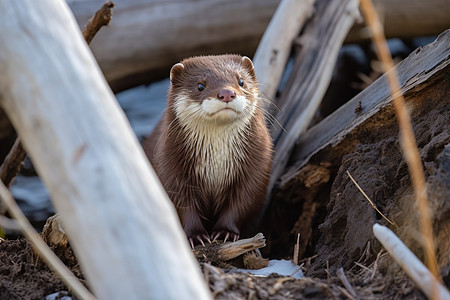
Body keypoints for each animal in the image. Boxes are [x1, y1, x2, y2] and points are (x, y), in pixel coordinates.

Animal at [142, 55, 272, 247]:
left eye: (241, 81)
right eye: (200, 85)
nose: (227, 93)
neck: (216, 162)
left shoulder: (257, 164)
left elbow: (243, 202)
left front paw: (225, 232)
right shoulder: (169, 163)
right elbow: (181, 205)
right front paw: (196, 236)